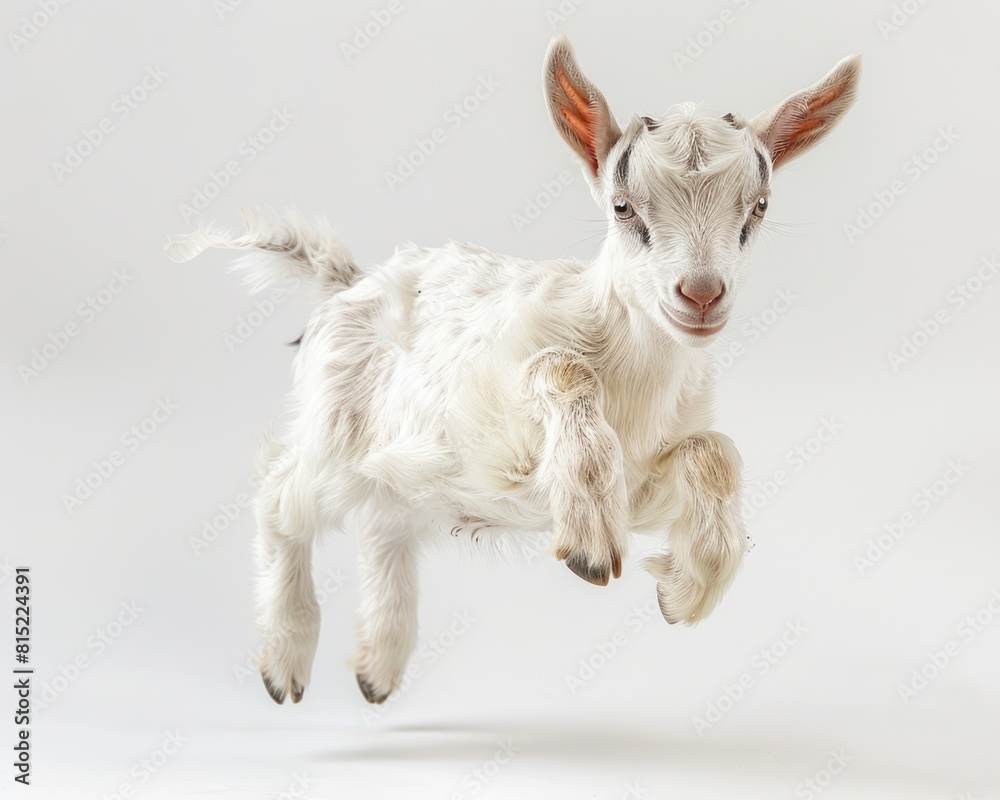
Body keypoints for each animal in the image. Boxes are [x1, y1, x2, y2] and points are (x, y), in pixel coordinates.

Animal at [167, 35, 860, 706]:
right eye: (624, 207)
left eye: (759, 207)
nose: (701, 294)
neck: (632, 385)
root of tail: (350, 281)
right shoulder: (490, 437)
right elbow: (559, 368)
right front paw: (589, 536)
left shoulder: (648, 485)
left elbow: (714, 453)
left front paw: (688, 588)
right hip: (337, 430)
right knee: (279, 496)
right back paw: (284, 663)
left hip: (401, 475)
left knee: (382, 525)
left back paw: (376, 668)